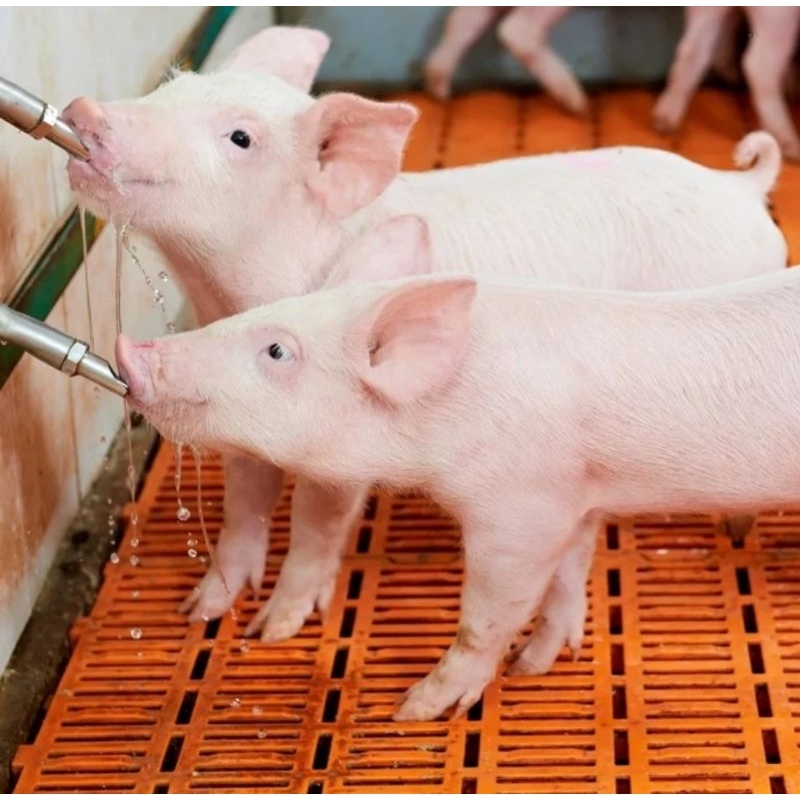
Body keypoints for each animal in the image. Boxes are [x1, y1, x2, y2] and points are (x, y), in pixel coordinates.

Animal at [61, 24, 787, 645]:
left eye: (240, 138)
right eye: (170, 85)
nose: (86, 111)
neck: (225, 287)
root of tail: (742, 187)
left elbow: (316, 520)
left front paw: (273, 630)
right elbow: (245, 497)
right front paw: (202, 611)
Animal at [115, 216, 800, 721]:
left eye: (278, 349)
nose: (132, 349)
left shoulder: (521, 507)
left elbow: (488, 613)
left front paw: (413, 710)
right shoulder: (575, 491)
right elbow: (569, 575)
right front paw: (536, 663)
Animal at [653, 7, 800, 161]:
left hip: (706, 11)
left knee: (692, 50)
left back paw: (665, 124)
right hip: (778, 15)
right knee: (757, 65)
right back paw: (791, 148)